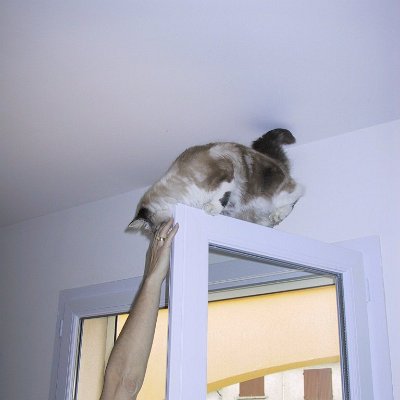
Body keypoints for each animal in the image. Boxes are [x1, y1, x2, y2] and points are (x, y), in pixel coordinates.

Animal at [128, 128, 304, 233]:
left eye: (156, 229)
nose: (159, 236)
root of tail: (277, 163)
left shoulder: (226, 175)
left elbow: (221, 196)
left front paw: (211, 208)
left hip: (278, 195)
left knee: (298, 193)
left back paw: (278, 214)